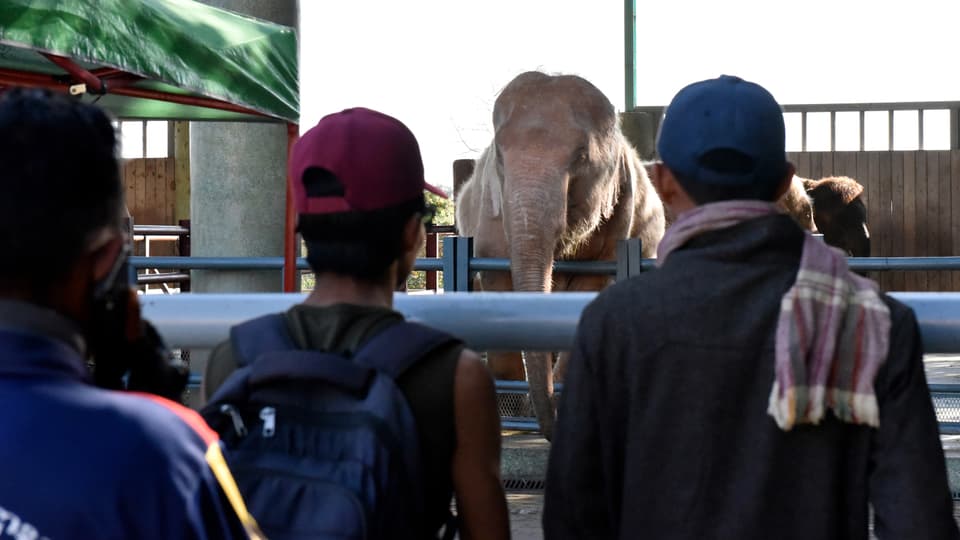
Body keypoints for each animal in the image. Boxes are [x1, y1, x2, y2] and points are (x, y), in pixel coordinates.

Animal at [454, 70, 664, 442]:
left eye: (580, 156)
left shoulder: (619, 217)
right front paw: (509, 411)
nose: (550, 428)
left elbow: (591, 284)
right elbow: (496, 278)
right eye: (500, 158)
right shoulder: (491, 212)